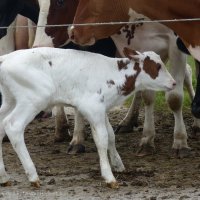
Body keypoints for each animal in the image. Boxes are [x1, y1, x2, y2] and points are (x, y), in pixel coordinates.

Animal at [0, 46, 175, 188]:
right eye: (157, 66)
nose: (174, 83)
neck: (114, 74)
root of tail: (6, 58)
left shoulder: (102, 110)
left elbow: (111, 136)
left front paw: (118, 164)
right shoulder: (93, 108)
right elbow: (102, 139)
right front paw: (109, 177)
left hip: (10, 100)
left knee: (1, 126)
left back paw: (4, 177)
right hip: (34, 98)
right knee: (13, 126)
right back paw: (33, 176)